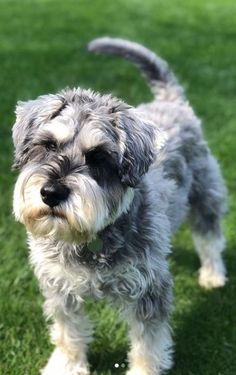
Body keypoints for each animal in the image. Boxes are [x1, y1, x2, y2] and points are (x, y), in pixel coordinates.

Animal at [12, 39, 227, 375]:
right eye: (48, 145)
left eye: (98, 156)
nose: (50, 193)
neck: (90, 238)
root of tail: (172, 102)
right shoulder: (60, 286)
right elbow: (68, 330)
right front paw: (66, 365)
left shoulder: (148, 290)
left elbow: (148, 344)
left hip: (205, 194)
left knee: (209, 235)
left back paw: (213, 275)